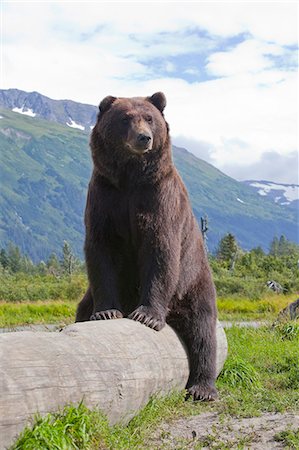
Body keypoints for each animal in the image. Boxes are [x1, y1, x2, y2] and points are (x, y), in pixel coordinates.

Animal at [76, 92, 218, 400]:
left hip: (194, 280)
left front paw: (147, 315)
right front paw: (107, 311)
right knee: (80, 310)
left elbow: (160, 252)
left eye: (150, 118)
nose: (144, 138)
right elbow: (101, 252)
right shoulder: (105, 197)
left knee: (203, 329)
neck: (130, 176)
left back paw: (202, 388)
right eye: (126, 118)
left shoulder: (158, 198)